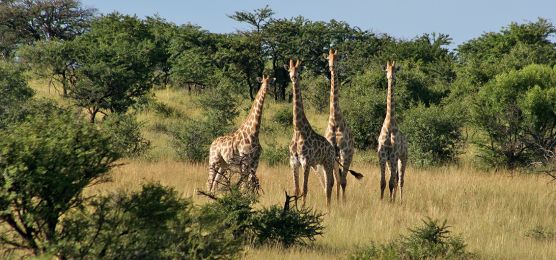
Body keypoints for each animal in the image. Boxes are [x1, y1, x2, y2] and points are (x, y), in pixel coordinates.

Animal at [288, 59, 336, 209]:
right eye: (289, 69)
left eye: (298, 69)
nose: (293, 77)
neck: (298, 130)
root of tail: (332, 148)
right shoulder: (294, 162)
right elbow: (296, 189)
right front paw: (295, 209)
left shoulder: (306, 162)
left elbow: (305, 188)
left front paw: (303, 209)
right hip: (319, 165)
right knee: (327, 185)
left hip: (328, 163)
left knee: (330, 185)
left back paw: (328, 208)